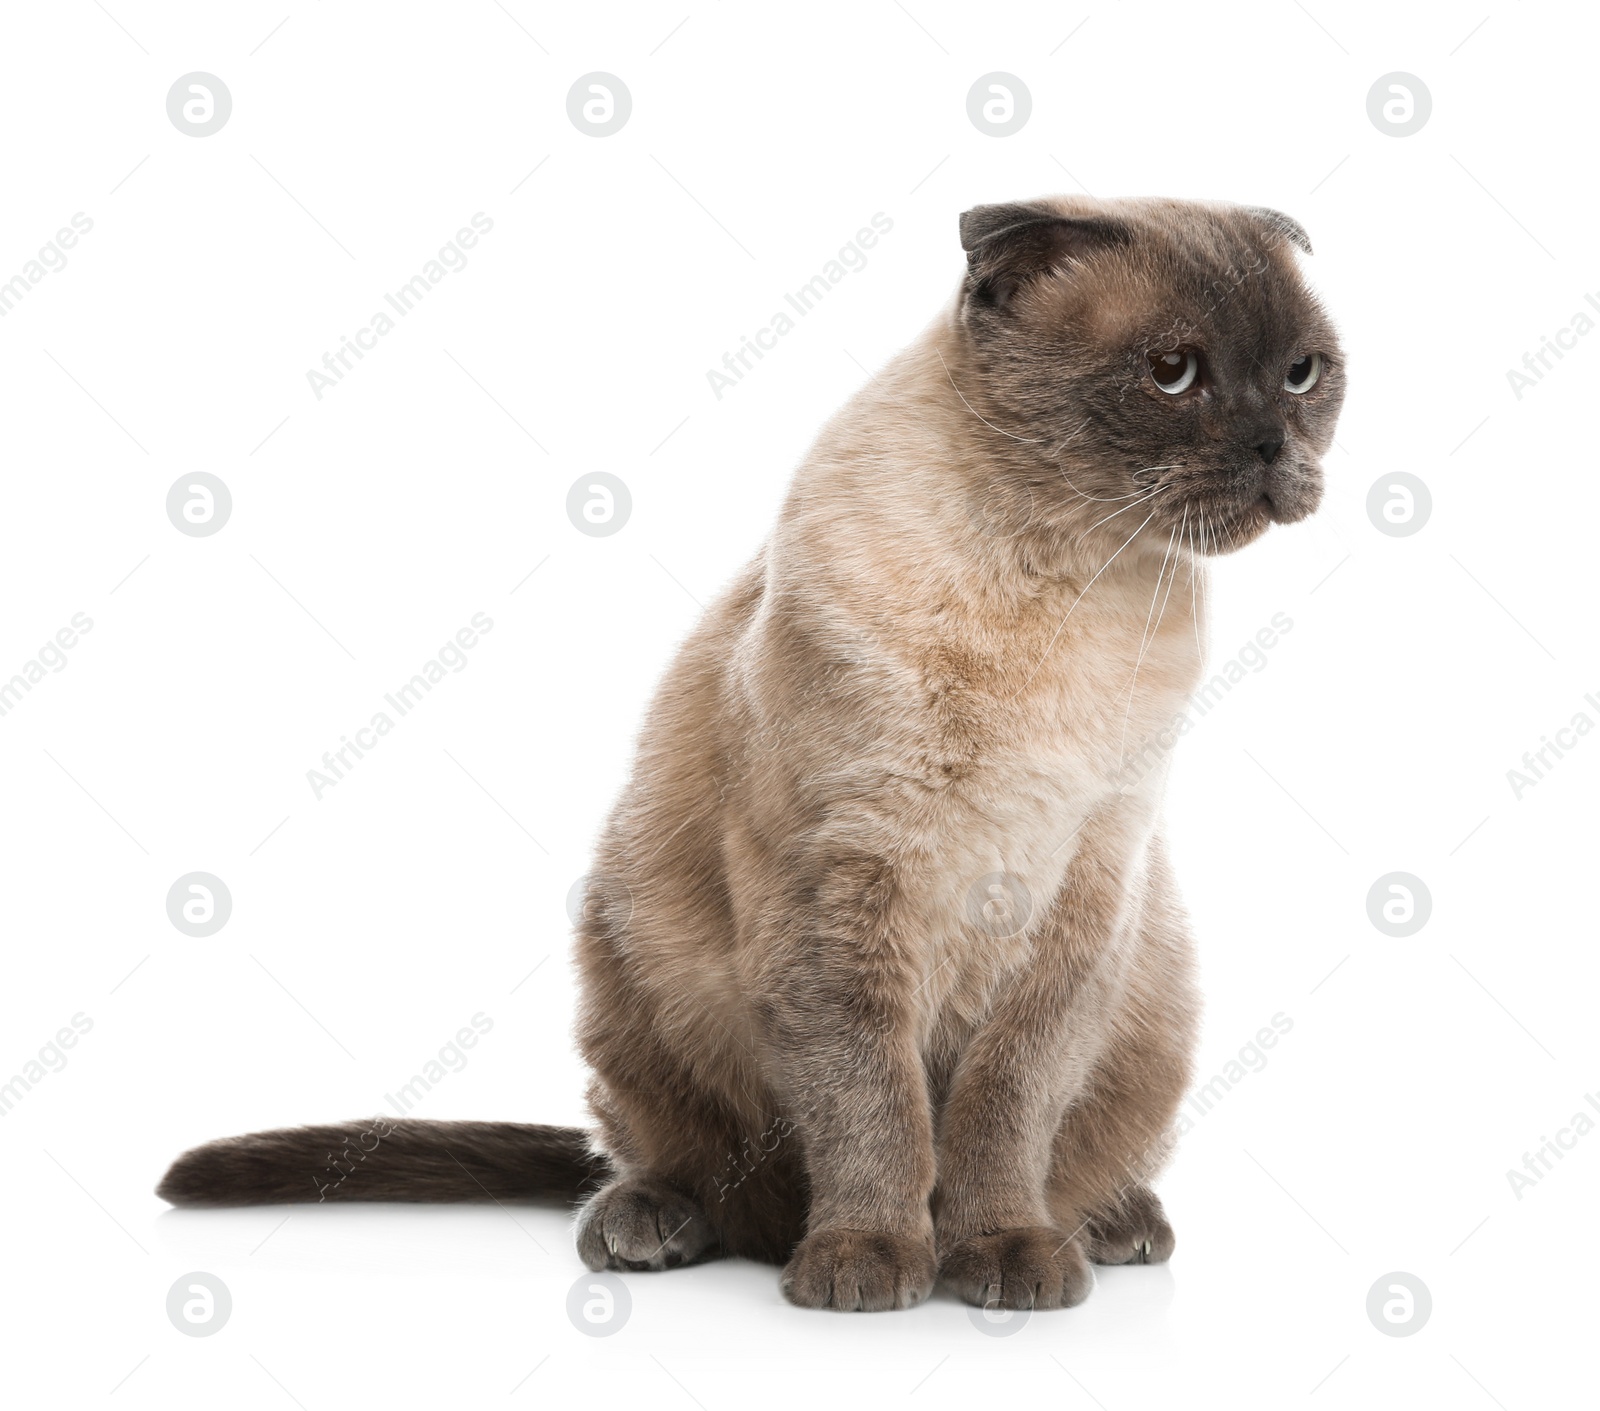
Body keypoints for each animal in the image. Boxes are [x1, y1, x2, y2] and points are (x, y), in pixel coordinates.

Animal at [159, 195, 1337, 1311]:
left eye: (1302, 373)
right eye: (1173, 373)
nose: (1274, 447)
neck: (1061, 573)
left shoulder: (1083, 896)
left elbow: (1005, 1109)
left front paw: (1003, 1250)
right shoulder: (841, 890)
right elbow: (874, 1108)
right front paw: (868, 1261)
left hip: (1154, 992)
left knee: (1059, 1158)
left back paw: (1108, 1224)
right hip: (629, 959)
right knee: (680, 1168)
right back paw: (656, 1227)